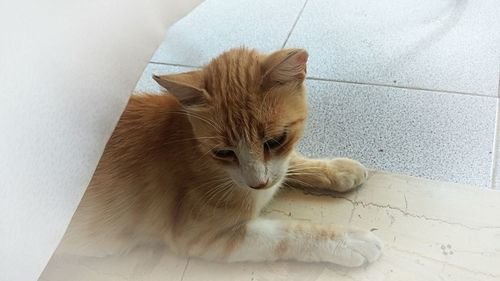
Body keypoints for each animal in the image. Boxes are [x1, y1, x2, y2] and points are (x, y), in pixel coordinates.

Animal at [61, 47, 382, 266]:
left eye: (276, 140)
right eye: (223, 152)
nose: (258, 184)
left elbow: (290, 164)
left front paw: (335, 169)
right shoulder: (203, 236)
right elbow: (286, 234)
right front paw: (346, 240)